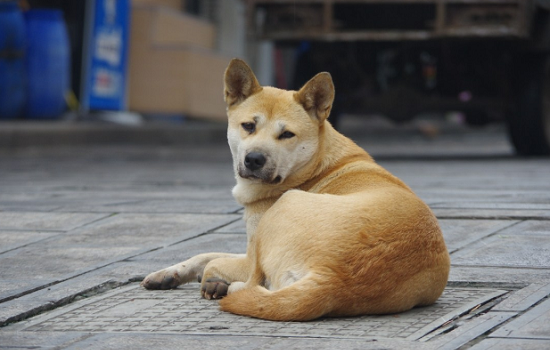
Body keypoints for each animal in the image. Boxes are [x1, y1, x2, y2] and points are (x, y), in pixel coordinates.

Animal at [140, 58, 450, 322]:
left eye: (287, 134)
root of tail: (331, 279)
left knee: (253, 282)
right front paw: (167, 274)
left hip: (285, 208)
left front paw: (211, 282)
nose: (254, 159)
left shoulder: (251, 252)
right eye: (248, 126)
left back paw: (226, 287)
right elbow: (202, 255)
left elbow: (211, 260)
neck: (315, 165)